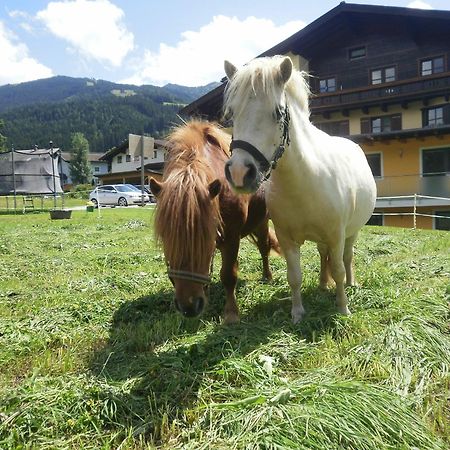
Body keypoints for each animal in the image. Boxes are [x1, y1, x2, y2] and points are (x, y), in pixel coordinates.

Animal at [150, 119, 278, 324]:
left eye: (204, 237)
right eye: (165, 238)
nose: (189, 307)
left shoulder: (232, 237)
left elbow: (228, 275)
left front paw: (231, 313)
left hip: (262, 222)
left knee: (264, 248)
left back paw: (267, 276)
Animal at [224, 55, 376, 324]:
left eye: (278, 112)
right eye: (232, 114)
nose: (240, 173)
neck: (304, 181)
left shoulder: (337, 235)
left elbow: (338, 268)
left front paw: (343, 308)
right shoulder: (286, 238)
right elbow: (294, 276)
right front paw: (297, 313)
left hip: (352, 231)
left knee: (347, 257)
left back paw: (351, 283)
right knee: (323, 254)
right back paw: (323, 284)